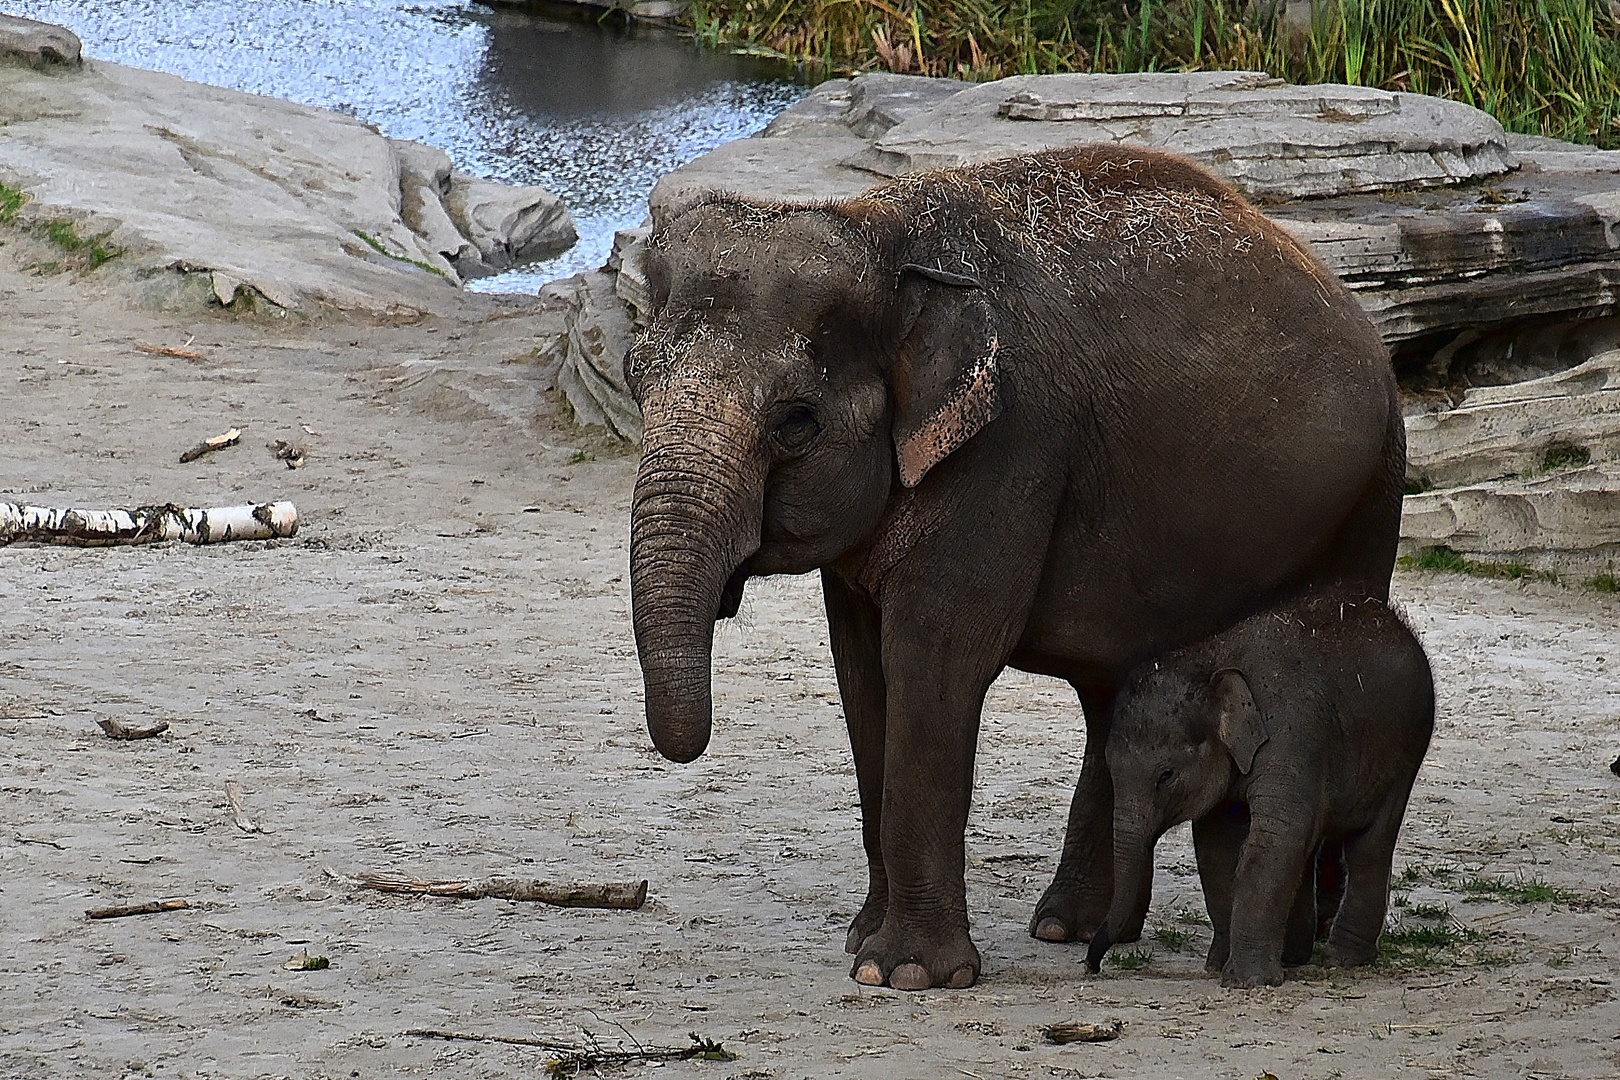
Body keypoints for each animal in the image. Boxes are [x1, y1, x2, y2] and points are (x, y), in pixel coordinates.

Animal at [1088, 592, 1432, 990]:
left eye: (1166, 775)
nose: (1093, 966)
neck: (1210, 661)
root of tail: (1393, 618)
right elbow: (1218, 848)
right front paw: (1216, 967)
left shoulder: (1294, 735)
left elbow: (1273, 838)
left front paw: (1246, 981)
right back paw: (1294, 956)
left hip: (1406, 752)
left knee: (1369, 846)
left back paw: (1342, 961)